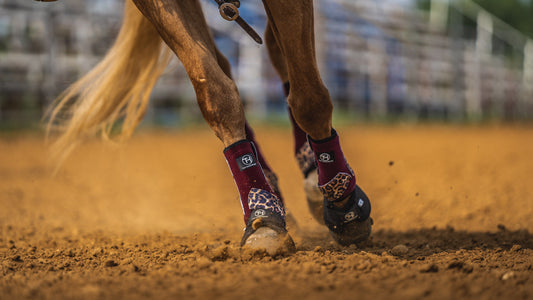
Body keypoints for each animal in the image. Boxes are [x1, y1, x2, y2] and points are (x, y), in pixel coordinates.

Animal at [45, 0, 372, 254]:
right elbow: (215, 91)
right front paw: (263, 217)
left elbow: (309, 98)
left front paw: (343, 203)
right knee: (229, 64)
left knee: (281, 55)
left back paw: (313, 174)